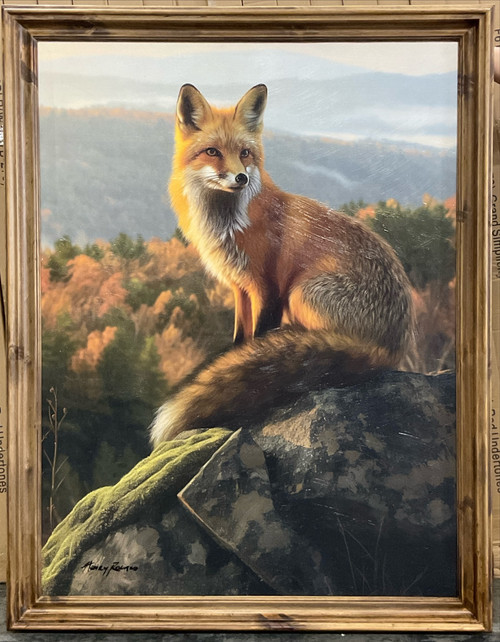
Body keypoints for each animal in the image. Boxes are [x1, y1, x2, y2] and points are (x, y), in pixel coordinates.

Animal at [150, 83, 414, 446]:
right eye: (212, 152)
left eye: (245, 153)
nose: (241, 178)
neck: (231, 225)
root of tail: (390, 350)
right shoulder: (240, 288)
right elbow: (241, 341)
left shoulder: (268, 287)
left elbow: (257, 338)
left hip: (300, 294)